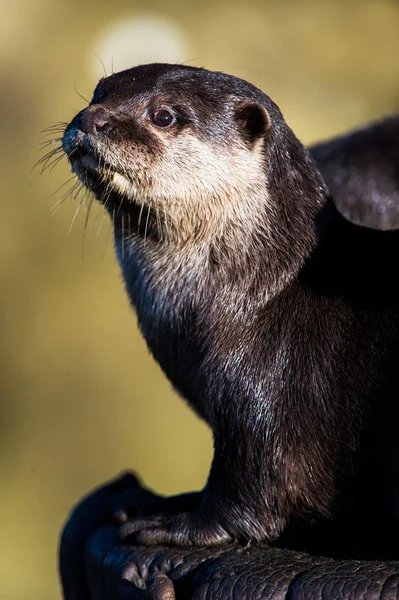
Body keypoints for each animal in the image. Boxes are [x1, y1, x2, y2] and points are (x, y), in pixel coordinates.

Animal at [61, 64, 399, 556]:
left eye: (163, 115)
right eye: (97, 93)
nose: (91, 120)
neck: (263, 296)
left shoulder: (267, 391)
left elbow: (250, 492)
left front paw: (174, 524)